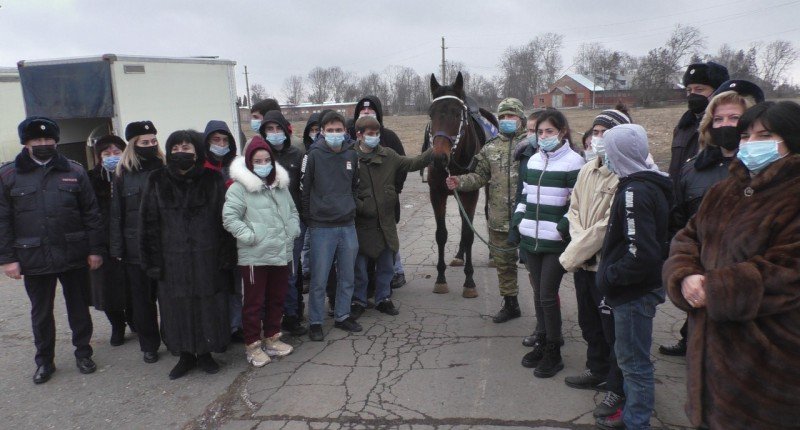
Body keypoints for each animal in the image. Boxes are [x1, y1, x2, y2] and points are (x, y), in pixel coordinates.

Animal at [424, 72, 494, 298]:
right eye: (431, 114)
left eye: (457, 114)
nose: (439, 158)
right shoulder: (436, 193)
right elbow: (441, 234)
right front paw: (440, 278)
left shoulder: (470, 193)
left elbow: (468, 233)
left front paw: (469, 282)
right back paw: (459, 255)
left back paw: (492, 255)